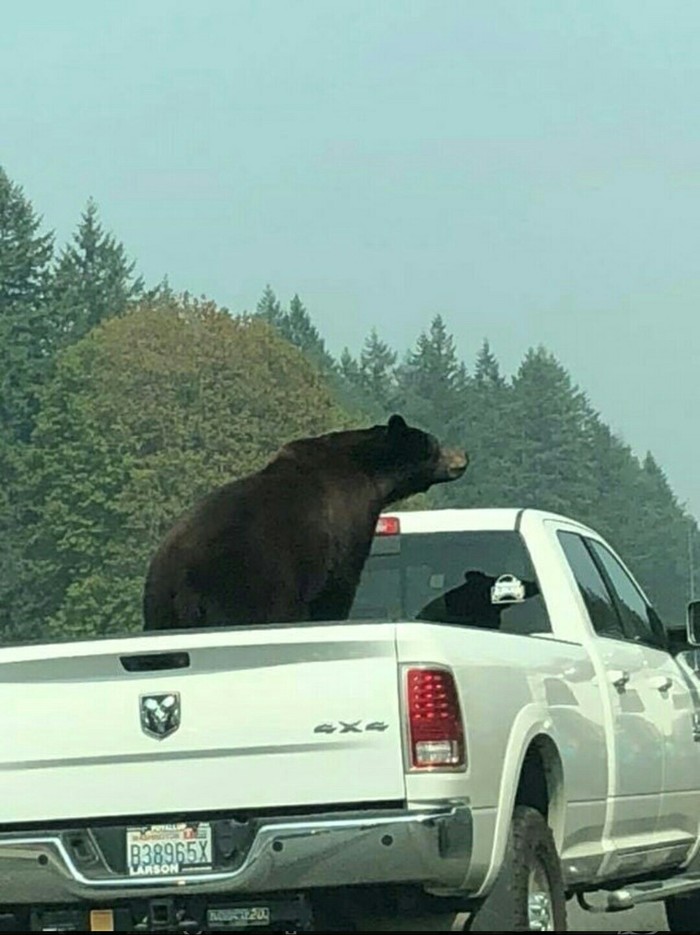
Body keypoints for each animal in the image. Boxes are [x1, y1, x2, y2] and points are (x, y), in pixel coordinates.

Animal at [141, 414, 470, 628]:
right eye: (434, 444)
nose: (462, 455)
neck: (369, 472)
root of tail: (183, 581)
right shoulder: (347, 522)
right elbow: (339, 585)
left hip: (159, 608)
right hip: (247, 589)